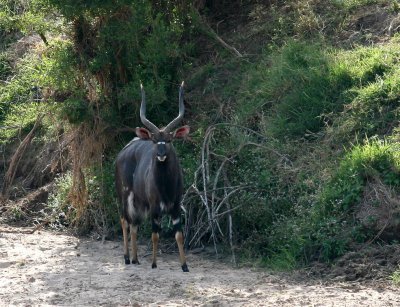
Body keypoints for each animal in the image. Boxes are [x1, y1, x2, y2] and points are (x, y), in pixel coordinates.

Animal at [115, 81, 190, 272]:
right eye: (155, 140)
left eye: (169, 140)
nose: (161, 155)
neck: (166, 186)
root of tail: (122, 153)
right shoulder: (155, 208)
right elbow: (155, 235)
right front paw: (154, 264)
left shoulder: (175, 206)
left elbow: (179, 235)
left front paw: (184, 266)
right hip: (124, 195)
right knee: (124, 220)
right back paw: (127, 257)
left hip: (138, 202)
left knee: (134, 224)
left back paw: (135, 259)